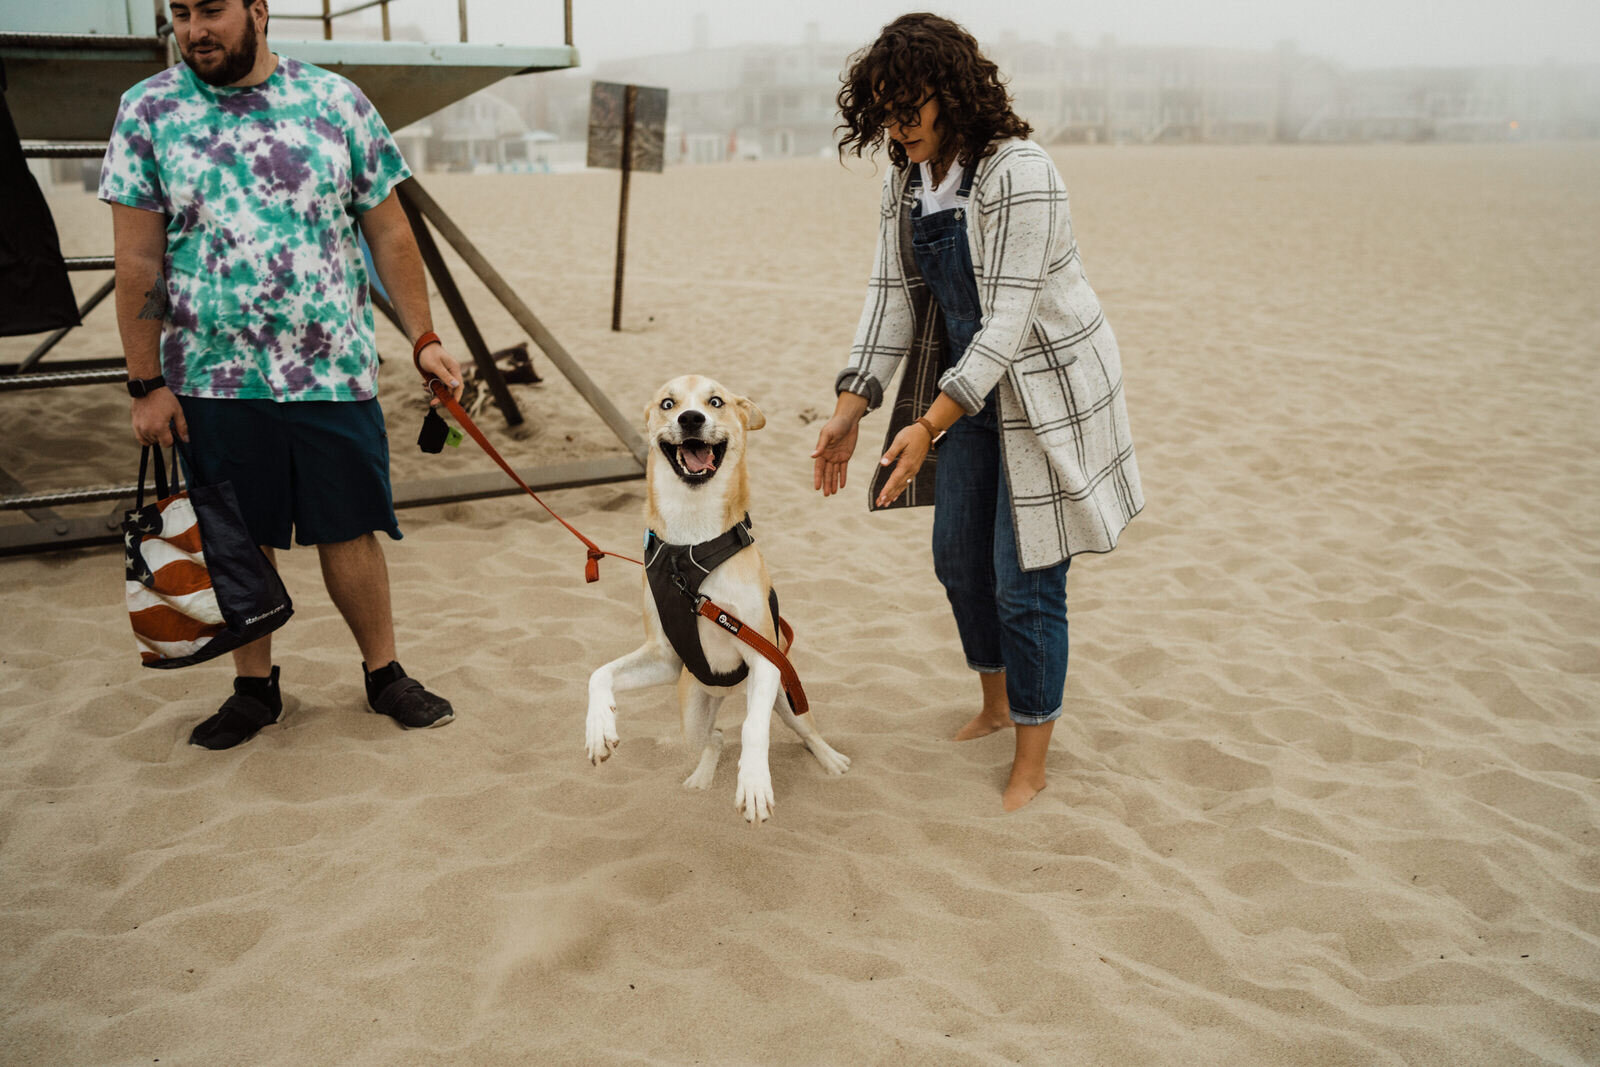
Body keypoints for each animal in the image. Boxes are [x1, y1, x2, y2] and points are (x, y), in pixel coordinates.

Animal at [585, 377, 851, 825]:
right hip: (692, 709)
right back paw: (701, 777)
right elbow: (598, 673)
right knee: (715, 736)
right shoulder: (665, 657)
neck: (689, 546)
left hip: (785, 693)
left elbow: (753, 729)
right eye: (667, 403)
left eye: (716, 401)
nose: (690, 418)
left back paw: (830, 760)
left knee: (802, 730)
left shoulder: (763, 656)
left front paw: (755, 784)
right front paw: (599, 728)